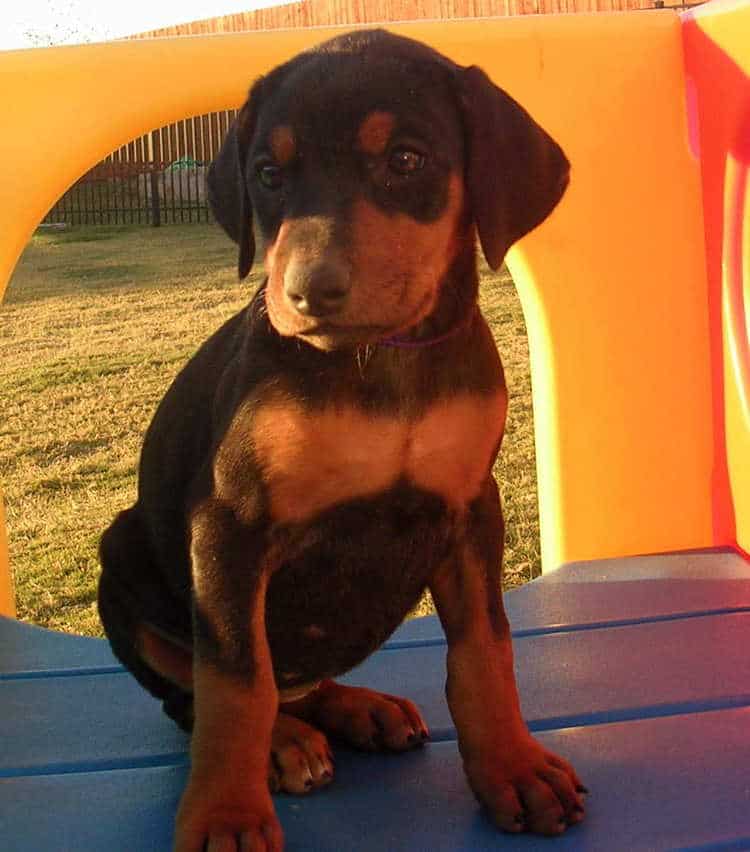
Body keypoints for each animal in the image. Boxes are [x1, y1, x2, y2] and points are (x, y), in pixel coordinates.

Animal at [97, 28, 584, 852]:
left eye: (407, 160)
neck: (380, 360)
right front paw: (227, 813)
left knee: (296, 679)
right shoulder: (228, 526)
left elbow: (486, 649)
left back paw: (358, 708)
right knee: (204, 695)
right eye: (268, 175)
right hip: (124, 558)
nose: (307, 293)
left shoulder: (469, 510)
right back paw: (286, 742)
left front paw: (513, 768)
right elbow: (236, 683)